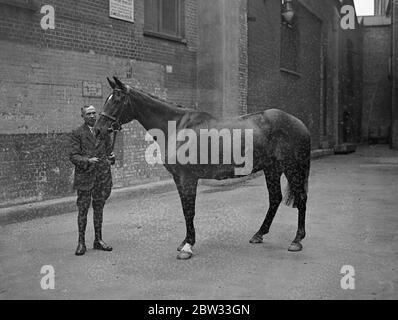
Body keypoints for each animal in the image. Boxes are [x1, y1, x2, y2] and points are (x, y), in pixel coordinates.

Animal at [94, 77, 310, 260]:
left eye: (117, 100)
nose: (98, 129)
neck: (177, 127)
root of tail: (299, 123)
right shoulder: (179, 179)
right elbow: (185, 210)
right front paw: (185, 242)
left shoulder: (188, 178)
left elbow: (190, 210)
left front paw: (188, 247)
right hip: (272, 169)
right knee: (275, 199)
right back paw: (259, 234)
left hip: (292, 169)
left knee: (301, 198)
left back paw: (296, 240)